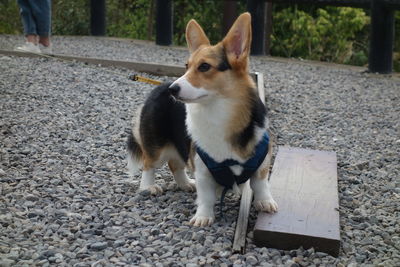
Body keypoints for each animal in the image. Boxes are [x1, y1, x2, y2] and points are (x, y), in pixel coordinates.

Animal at [126, 12, 276, 226]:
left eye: (204, 66)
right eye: (186, 66)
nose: (173, 89)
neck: (218, 113)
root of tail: (158, 87)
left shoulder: (261, 165)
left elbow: (261, 185)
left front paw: (265, 202)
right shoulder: (203, 169)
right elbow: (206, 196)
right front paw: (203, 217)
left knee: (175, 165)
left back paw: (186, 184)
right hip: (157, 147)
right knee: (149, 164)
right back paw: (148, 187)